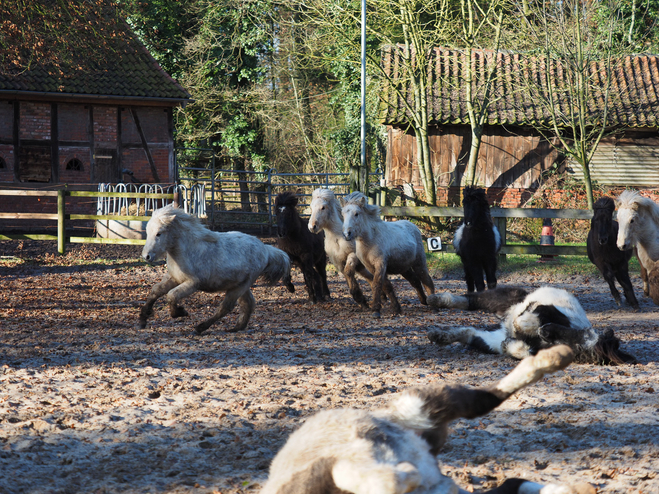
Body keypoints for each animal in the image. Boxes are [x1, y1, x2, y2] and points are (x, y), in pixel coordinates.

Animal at [141, 203, 290, 334]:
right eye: (148, 232)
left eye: (159, 233)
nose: (146, 256)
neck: (187, 250)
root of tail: (266, 249)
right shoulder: (174, 278)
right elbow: (156, 291)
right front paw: (143, 317)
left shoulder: (193, 283)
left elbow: (171, 295)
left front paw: (180, 312)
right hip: (240, 286)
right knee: (248, 303)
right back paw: (237, 327)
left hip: (239, 287)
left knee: (225, 308)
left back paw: (201, 327)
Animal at [426, 286, 636, 362]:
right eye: (581, 334)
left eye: (578, 349)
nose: (545, 331)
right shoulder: (546, 310)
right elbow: (527, 319)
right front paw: (520, 327)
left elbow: (524, 351)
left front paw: (512, 345)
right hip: (507, 297)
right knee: (471, 300)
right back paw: (436, 299)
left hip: (488, 340)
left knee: (469, 332)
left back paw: (439, 335)